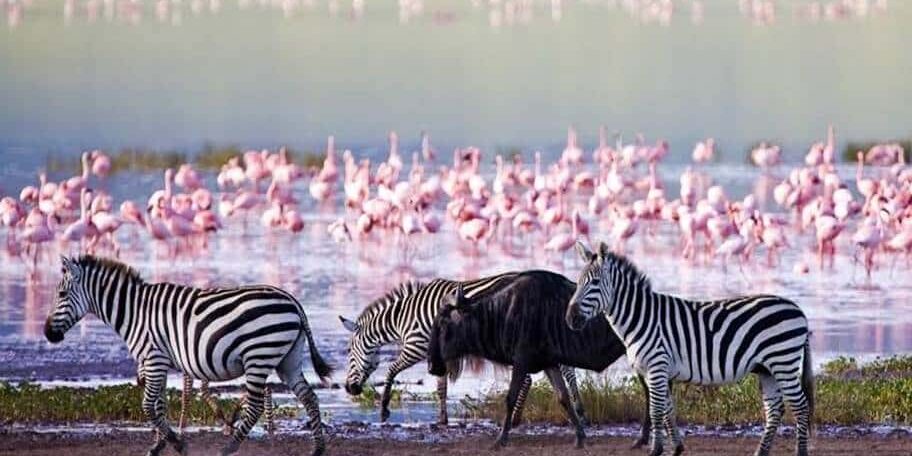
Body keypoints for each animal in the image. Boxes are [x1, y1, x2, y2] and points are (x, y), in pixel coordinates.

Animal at [44, 255, 333, 456]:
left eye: (61, 294)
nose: (47, 333)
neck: (134, 312)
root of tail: (293, 301)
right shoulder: (157, 362)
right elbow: (159, 405)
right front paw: (159, 446)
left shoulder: (154, 358)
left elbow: (148, 405)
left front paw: (177, 444)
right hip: (288, 359)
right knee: (309, 396)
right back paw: (317, 448)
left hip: (258, 357)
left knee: (255, 406)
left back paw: (228, 448)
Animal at [339, 272, 588, 426]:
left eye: (350, 353)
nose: (349, 389)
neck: (403, 318)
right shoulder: (439, 354)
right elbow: (441, 388)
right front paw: (442, 419)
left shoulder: (416, 346)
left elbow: (391, 371)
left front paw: (383, 410)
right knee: (564, 370)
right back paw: (578, 409)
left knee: (530, 378)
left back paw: (518, 418)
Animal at [565, 242, 814, 456]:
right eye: (578, 282)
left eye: (595, 283)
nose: (570, 318)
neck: (641, 318)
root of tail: (799, 310)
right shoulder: (659, 371)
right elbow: (668, 410)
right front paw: (676, 448)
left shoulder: (657, 366)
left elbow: (656, 411)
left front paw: (656, 450)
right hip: (767, 369)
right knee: (774, 411)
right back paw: (760, 452)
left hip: (783, 362)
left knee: (801, 407)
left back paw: (800, 452)